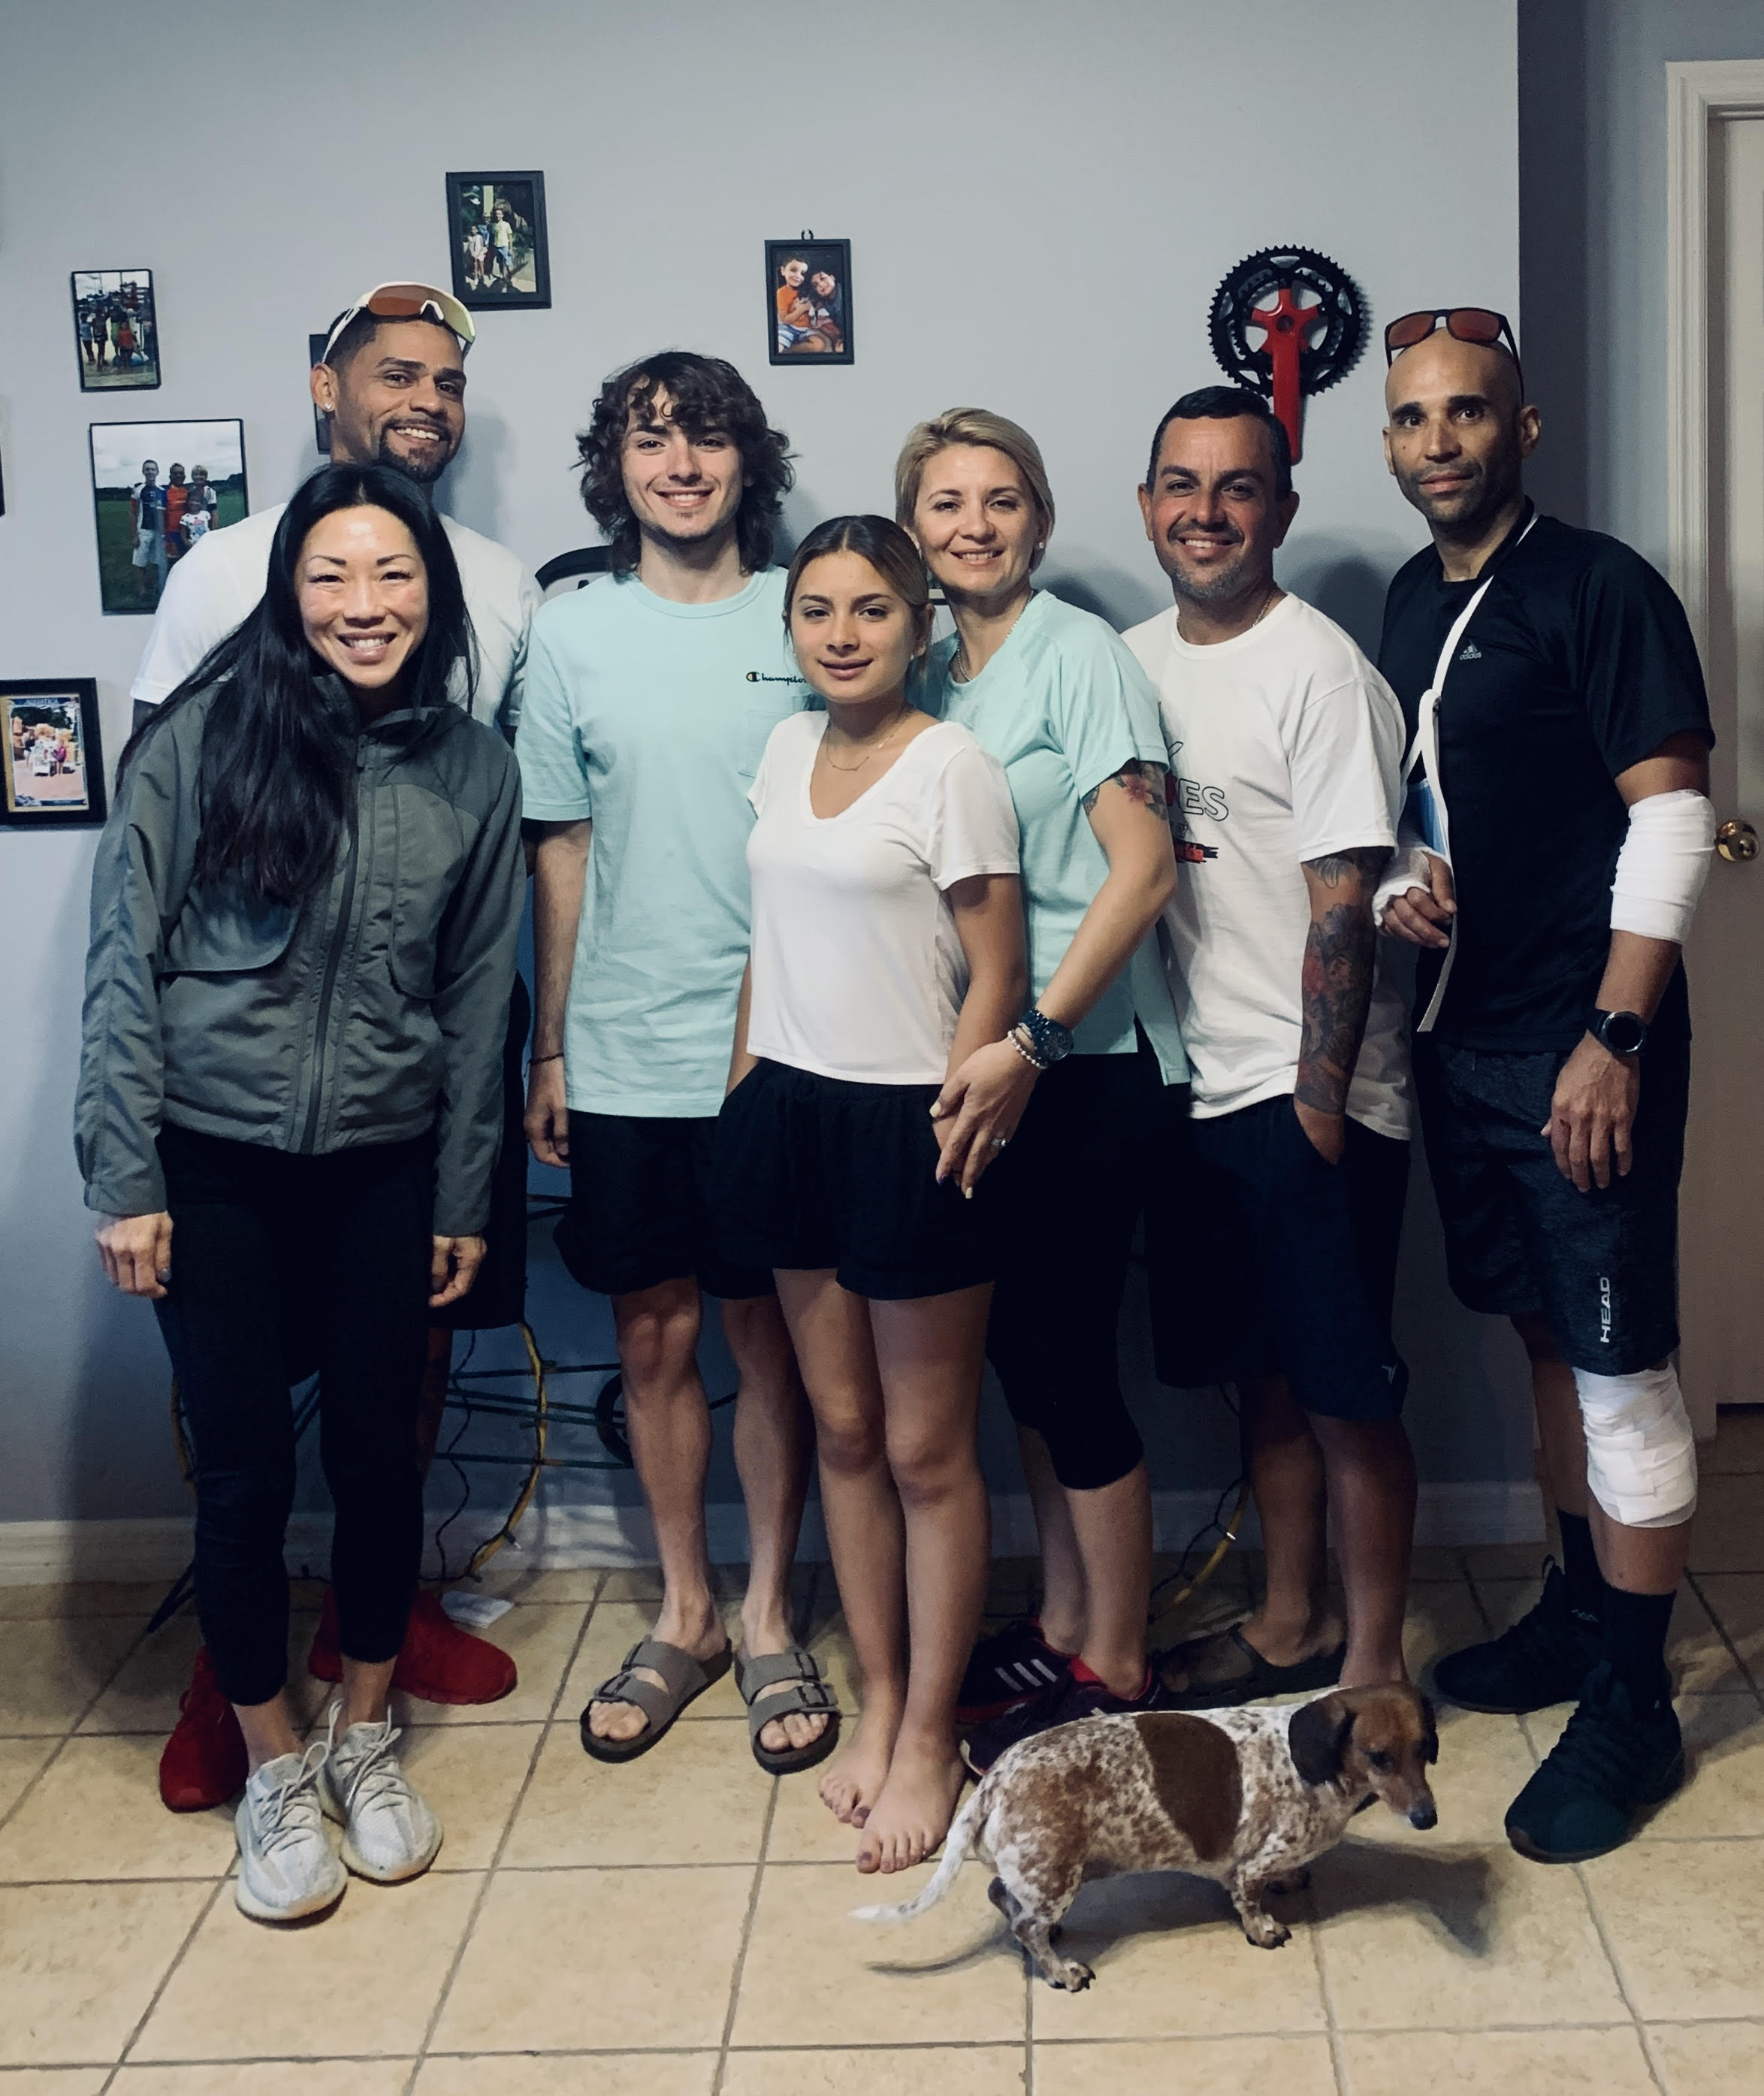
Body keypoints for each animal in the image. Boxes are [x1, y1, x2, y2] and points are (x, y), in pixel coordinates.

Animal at [850, 1677, 1433, 1986]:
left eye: (1426, 1748)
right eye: (1379, 1756)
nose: (1428, 1818)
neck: (1313, 1766)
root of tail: (994, 1779)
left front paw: (1290, 1882)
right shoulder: (1251, 1866)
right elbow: (1250, 1900)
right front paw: (1265, 1928)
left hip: (1045, 1871)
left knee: (1005, 1898)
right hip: (1059, 1875)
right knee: (1024, 1925)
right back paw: (1061, 1971)